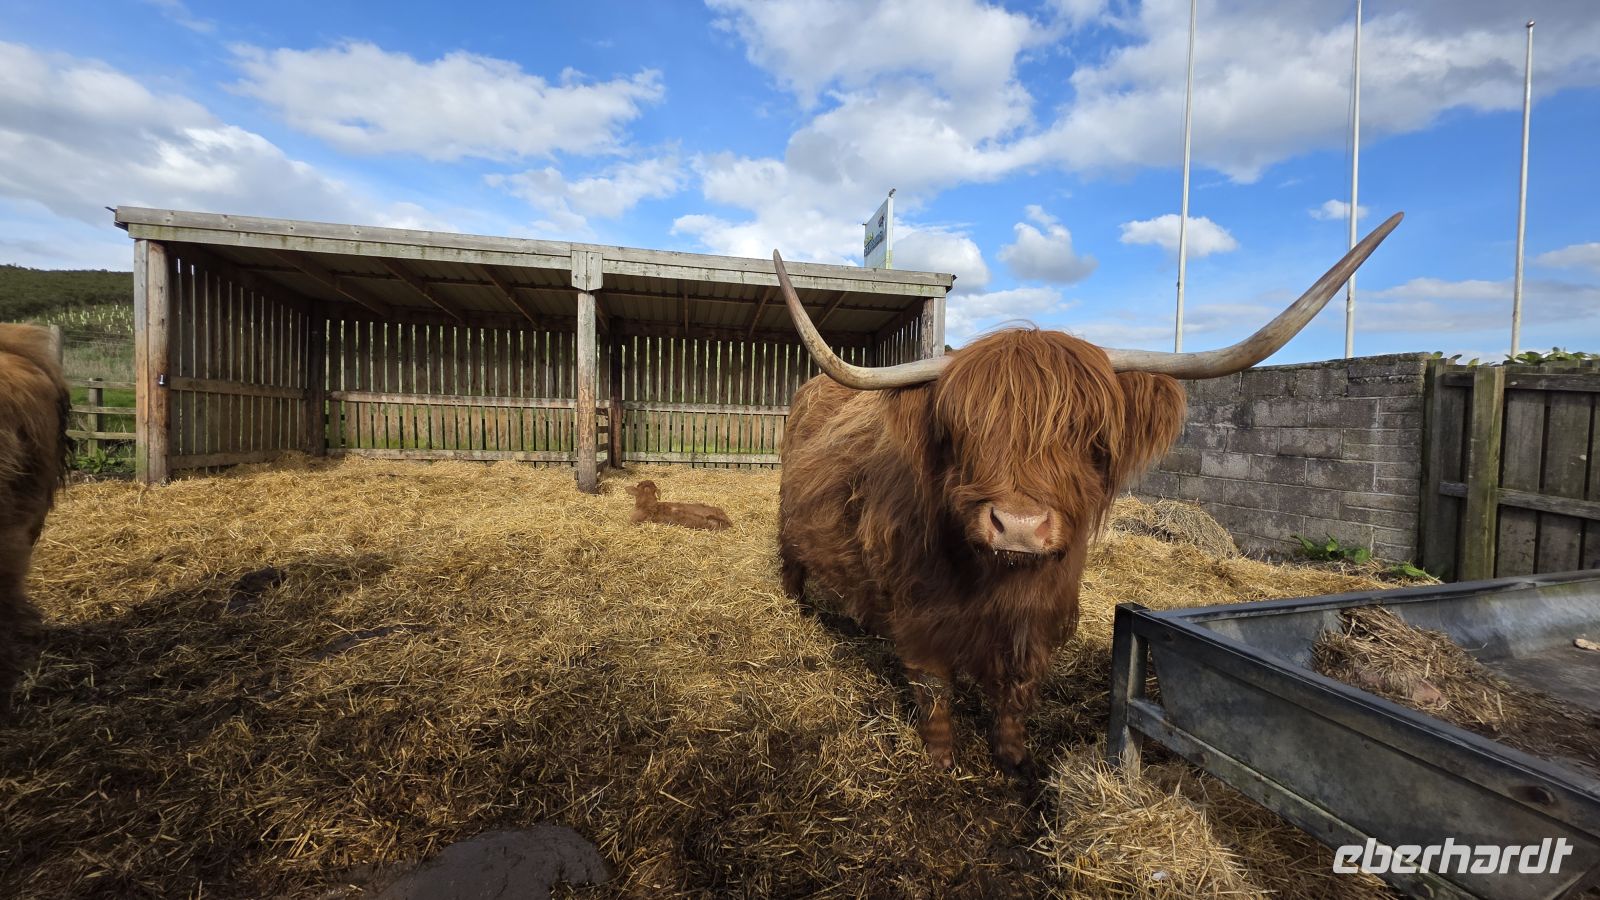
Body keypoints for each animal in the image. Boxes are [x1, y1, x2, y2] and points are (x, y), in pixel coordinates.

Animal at [773, 213, 1403, 778]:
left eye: (1088, 435)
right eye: (963, 430)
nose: (1018, 526)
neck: (993, 582)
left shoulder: (1040, 615)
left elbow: (1019, 686)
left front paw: (1015, 759)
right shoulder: (919, 607)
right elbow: (933, 687)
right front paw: (941, 759)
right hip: (788, 521)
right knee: (793, 564)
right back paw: (797, 607)